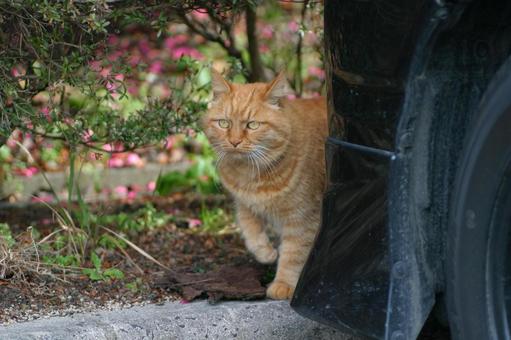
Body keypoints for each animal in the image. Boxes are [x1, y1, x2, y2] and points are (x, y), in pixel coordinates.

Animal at [202, 70, 326, 298]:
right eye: (224, 123)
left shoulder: (303, 218)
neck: (250, 173)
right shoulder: (244, 203)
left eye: (252, 125)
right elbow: (249, 230)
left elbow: (294, 253)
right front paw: (266, 253)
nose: (234, 142)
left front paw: (283, 285)